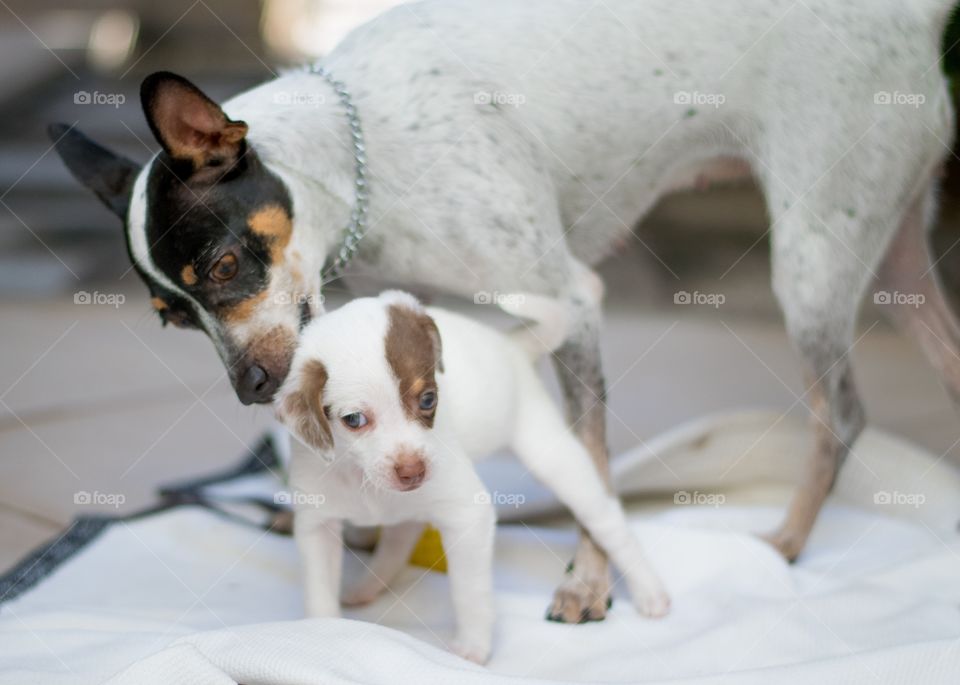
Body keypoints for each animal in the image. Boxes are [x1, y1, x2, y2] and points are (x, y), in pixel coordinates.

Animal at [274, 292, 672, 664]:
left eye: (428, 399)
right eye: (354, 419)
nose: (414, 471)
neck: (361, 475)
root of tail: (511, 346)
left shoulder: (468, 516)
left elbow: (469, 590)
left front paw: (472, 648)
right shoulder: (316, 525)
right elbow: (319, 589)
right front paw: (324, 630)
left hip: (557, 459)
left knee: (608, 522)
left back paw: (650, 592)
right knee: (401, 536)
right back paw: (369, 586)